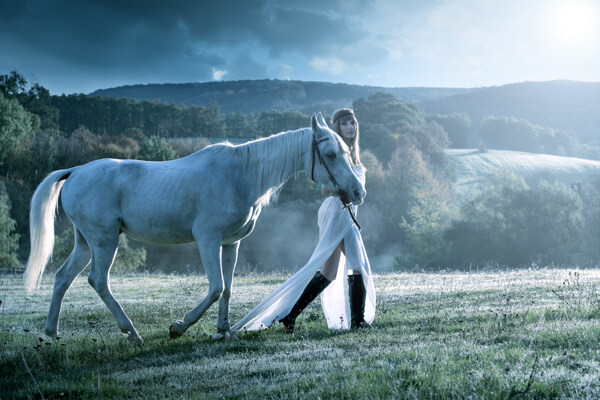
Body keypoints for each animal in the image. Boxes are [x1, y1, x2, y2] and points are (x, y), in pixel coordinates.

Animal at [23, 112, 364, 340]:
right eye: (331, 154)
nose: (358, 192)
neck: (241, 173)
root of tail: (76, 170)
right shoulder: (208, 241)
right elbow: (216, 288)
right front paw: (180, 326)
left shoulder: (230, 243)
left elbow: (228, 289)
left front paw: (223, 331)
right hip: (104, 240)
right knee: (98, 280)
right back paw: (130, 331)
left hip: (85, 242)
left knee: (63, 277)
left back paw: (50, 332)